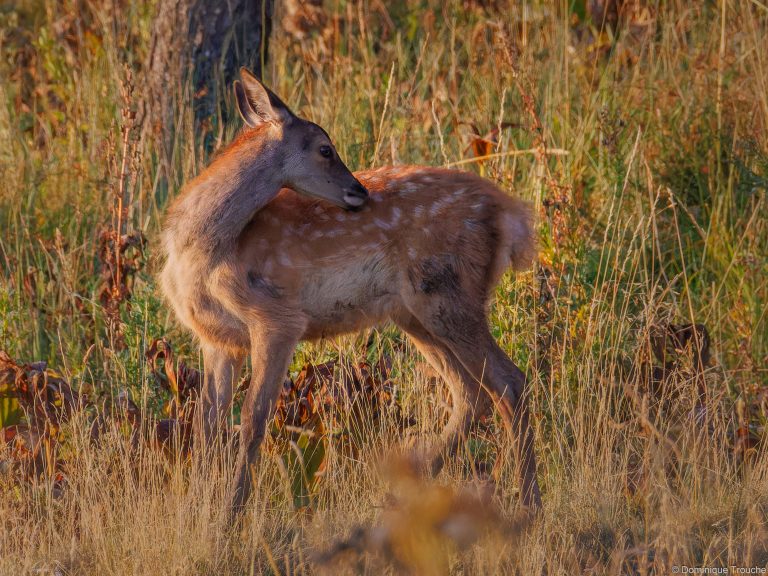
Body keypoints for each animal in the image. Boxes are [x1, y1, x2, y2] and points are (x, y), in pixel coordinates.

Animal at [160, 68, 542, 519]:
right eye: (325, 148)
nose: (359, 190)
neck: (208, 251)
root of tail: (511, 215)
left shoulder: (277, 317)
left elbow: (254, 419)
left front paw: (229, 516)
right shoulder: (217, 338)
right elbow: (207, 425)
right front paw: (195, 510)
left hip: (447, 295)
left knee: (509, 382)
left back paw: (529, 506)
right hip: (414, 312)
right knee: (471, 392)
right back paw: (399, 499)